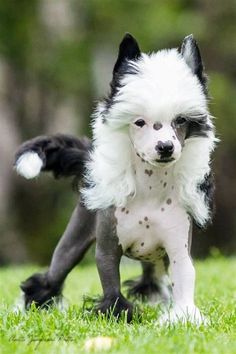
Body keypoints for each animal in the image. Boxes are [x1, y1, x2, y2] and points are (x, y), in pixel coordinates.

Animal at [14, 33, 217, 324]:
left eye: (180, 120)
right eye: (139, 122)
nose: (165, 147)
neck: (151, 190)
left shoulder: (178, 248)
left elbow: (185, 278)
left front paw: (183, 317)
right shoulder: (108, 248)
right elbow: (111, 284)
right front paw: (118, 314)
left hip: (155, 259)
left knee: (152, 278)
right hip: (73, 241)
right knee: (52, 277)